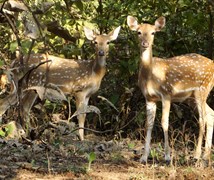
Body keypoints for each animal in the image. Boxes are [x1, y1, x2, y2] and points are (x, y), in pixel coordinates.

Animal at [127, 15, 214, 164]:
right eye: (138, 32)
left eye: (153, 33)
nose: (145, 43)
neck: (150, 76)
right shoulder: (149, 98)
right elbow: (148, 124)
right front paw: (143, 157)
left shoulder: (166, 93)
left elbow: (164, 122)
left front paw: (167, 157)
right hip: (191, 97)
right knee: (211, 114)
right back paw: (205, 156)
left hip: (202, 89)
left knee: (202, 119)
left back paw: (197, 155)